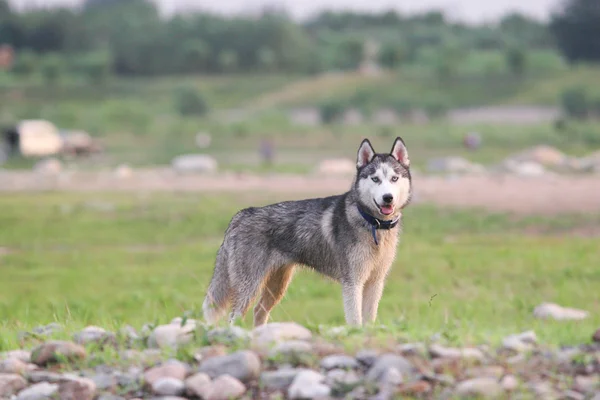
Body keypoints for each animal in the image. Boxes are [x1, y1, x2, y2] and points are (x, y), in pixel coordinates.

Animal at [204, 137, 410, 324]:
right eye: (375, 179)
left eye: (394, 178)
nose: (388, 197)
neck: (373, 224)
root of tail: (240, 215)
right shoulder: (353, 282)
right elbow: (355, 321)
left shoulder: (375, 282)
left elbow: (369, 322)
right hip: (249, 286)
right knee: (234, 318)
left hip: (277, 285)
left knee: (259, 311)